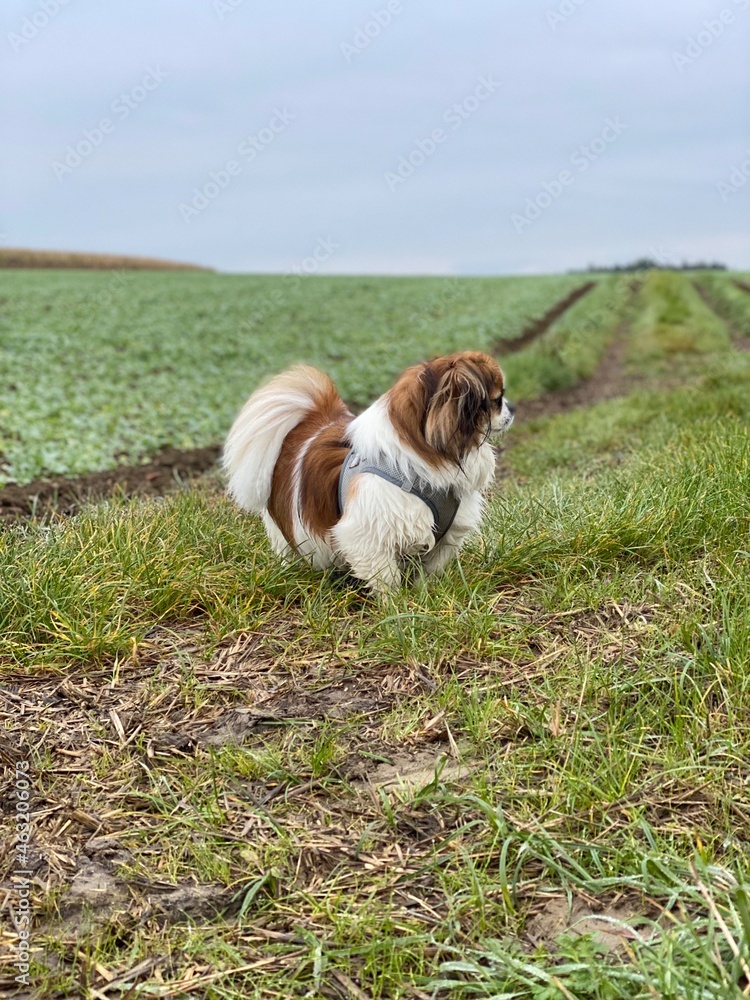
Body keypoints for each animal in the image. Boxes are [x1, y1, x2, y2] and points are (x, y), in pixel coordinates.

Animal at [223, 352, 516, 588]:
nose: (512, 408)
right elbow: (386, 577)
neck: (414, 464)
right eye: (497, 400)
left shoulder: (447, 535)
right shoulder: (366, 534)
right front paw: (395, 607)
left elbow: (429, 570)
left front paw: (423, 596)